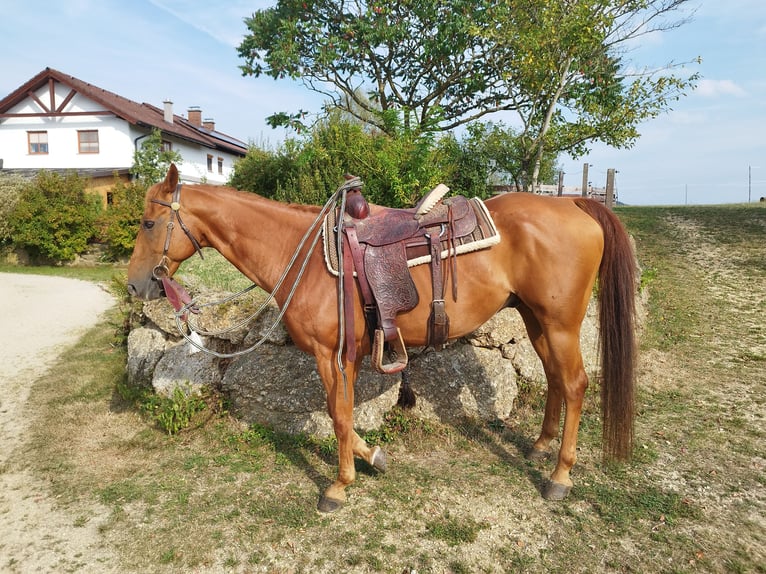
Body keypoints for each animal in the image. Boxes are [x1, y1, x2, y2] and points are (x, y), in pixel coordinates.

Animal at [129, 164, 640, 516]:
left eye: (149, 223)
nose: (135, 285)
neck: (304, 254)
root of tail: (574, 203)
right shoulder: (348, 356)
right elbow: (343, 413)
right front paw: (373, 456)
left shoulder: (329, 354)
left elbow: (338, 415)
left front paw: (339, 485)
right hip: (537, 321)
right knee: (555, 379)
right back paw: (539, 446)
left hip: (559, 324)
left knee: (575, 384)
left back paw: (559, 476)